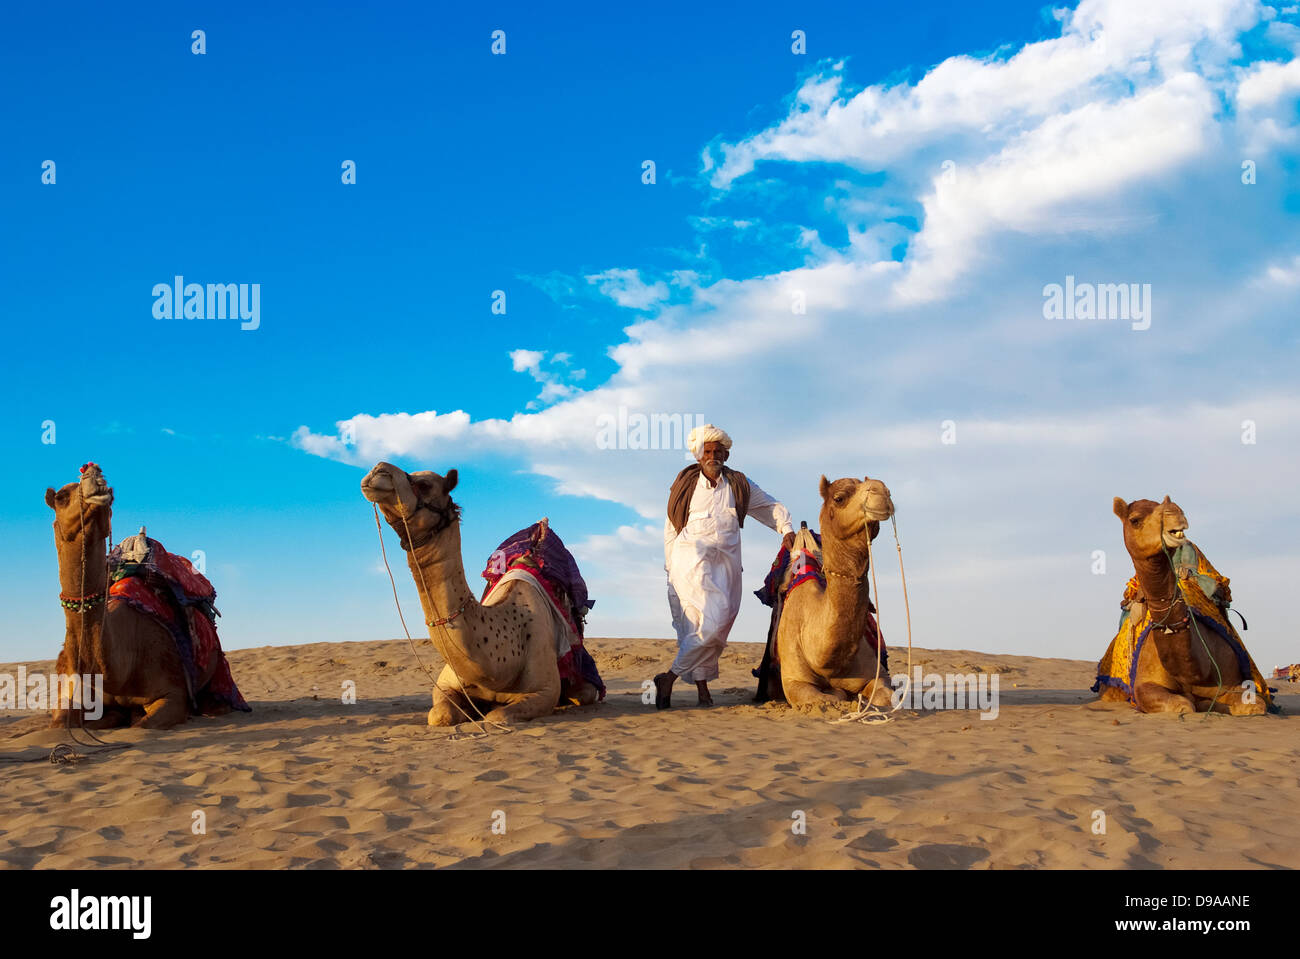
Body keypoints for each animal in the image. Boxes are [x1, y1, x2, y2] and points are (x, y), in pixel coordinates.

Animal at [46, 462, 226, 722]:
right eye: (61, 497)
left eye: (111, 492)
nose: (95, 474)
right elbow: (61, 720)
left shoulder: (173, 693)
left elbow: (144, 724)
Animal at [356, 460, 598, 722]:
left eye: (424, 484)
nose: (378, 469)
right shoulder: (444, 685)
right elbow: (439, 715)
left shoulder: (544, 691)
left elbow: (497, 717)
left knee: (585, 693)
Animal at [769, 473, 894, 706]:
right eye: (839, 498)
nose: (882, 491)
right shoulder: (794, 682)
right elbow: (827, 699)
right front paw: (838, 694)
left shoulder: (879, 674)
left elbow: (884, 697)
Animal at [1097, 496, 1268, 712]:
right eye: (1135, 520)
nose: (1174, 511)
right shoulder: (1144, 685)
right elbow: (1183, 705)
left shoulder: (1232, 682)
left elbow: (1255, 705)